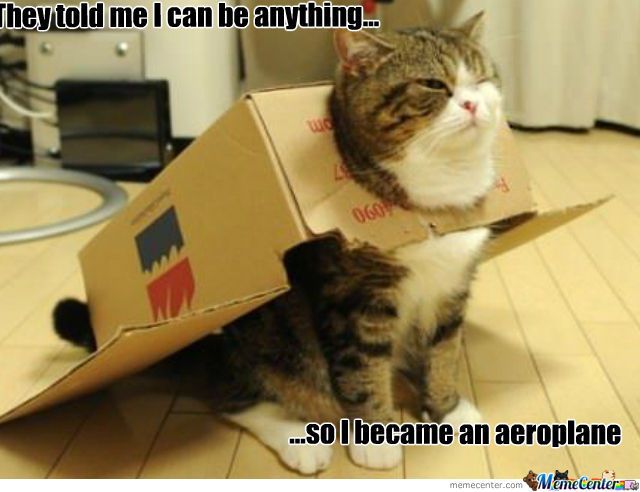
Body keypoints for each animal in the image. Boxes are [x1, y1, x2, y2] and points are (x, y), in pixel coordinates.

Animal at [53, 13, 504, 476]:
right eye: (433, 84)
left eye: (482, 79)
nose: (474, 105)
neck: (441, 186)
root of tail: (219, 350)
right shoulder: (356, 298)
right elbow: (362, 367)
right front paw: (375, 439)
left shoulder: (452, 288)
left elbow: (444, 353)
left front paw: (449, 410)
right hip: (278, 346)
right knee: (238, 398)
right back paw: (298, 439)